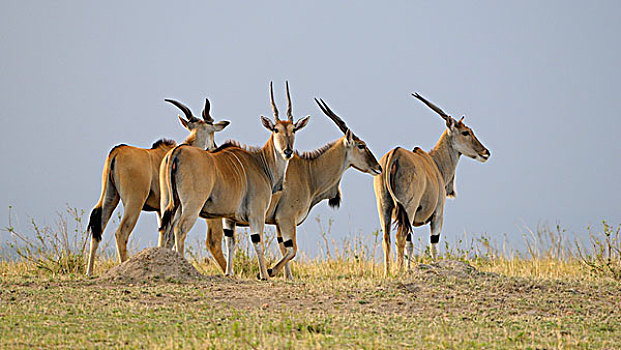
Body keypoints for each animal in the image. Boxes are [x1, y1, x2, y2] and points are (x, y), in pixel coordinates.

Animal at [85, 98, 230, 276]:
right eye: (212, 131)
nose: (214, 147)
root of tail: (117, 152)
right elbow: (169, 237)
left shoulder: (162, 210)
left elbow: (165, 235)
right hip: (134, 202)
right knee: (121, 233)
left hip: (109, 198)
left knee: (97, 227)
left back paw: (89, 273)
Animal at [157, 81, 308, 278]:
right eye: (276, 129)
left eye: (293, 130)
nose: (288, 151)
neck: (261, 163)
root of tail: (177, 151)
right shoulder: (256, 214)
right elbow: (257, 242)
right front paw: (264, 275)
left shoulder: (229, 218)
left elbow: (230, 243)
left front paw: (229, 274)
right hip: (191, 206)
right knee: (179, 230)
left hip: (168, 204)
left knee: (165, 230)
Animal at [206, 98, 382, 278]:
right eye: (361, 145)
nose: (379, 168)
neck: (308, 172)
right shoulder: (286, 218)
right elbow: (292, 250)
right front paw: (270, 271)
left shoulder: (278, 222)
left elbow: (284, 248)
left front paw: (287, 276)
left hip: (229, 218)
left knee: (229, 241)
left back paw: (229, 273)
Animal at [372, 92, 490, 276]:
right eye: (465, 132)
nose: (485, 152)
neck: (435, 163)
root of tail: (394, 154)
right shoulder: (438, 214)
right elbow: (434, 245)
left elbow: (410, 245)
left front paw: (410, 269)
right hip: (408, 207)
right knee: (399, 237)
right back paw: (398, 271)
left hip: (384, 206)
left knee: (387, 238)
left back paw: (387, 273)